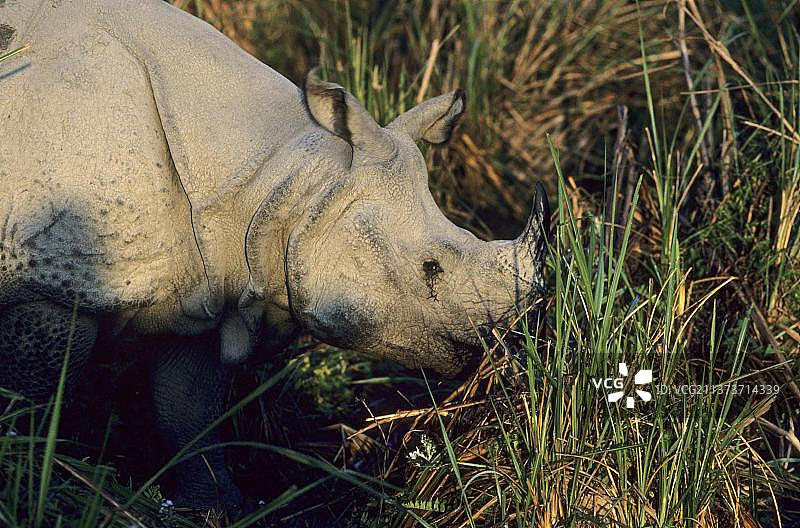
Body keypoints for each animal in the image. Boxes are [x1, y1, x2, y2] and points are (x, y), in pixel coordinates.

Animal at [0, 0, 548, 512]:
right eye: (431, 269)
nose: (500, 346)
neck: (274, 178)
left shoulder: (205, 291)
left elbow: (189, 413)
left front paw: (218, 506)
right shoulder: (47, 289)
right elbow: (33, 400)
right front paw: (31, 479)